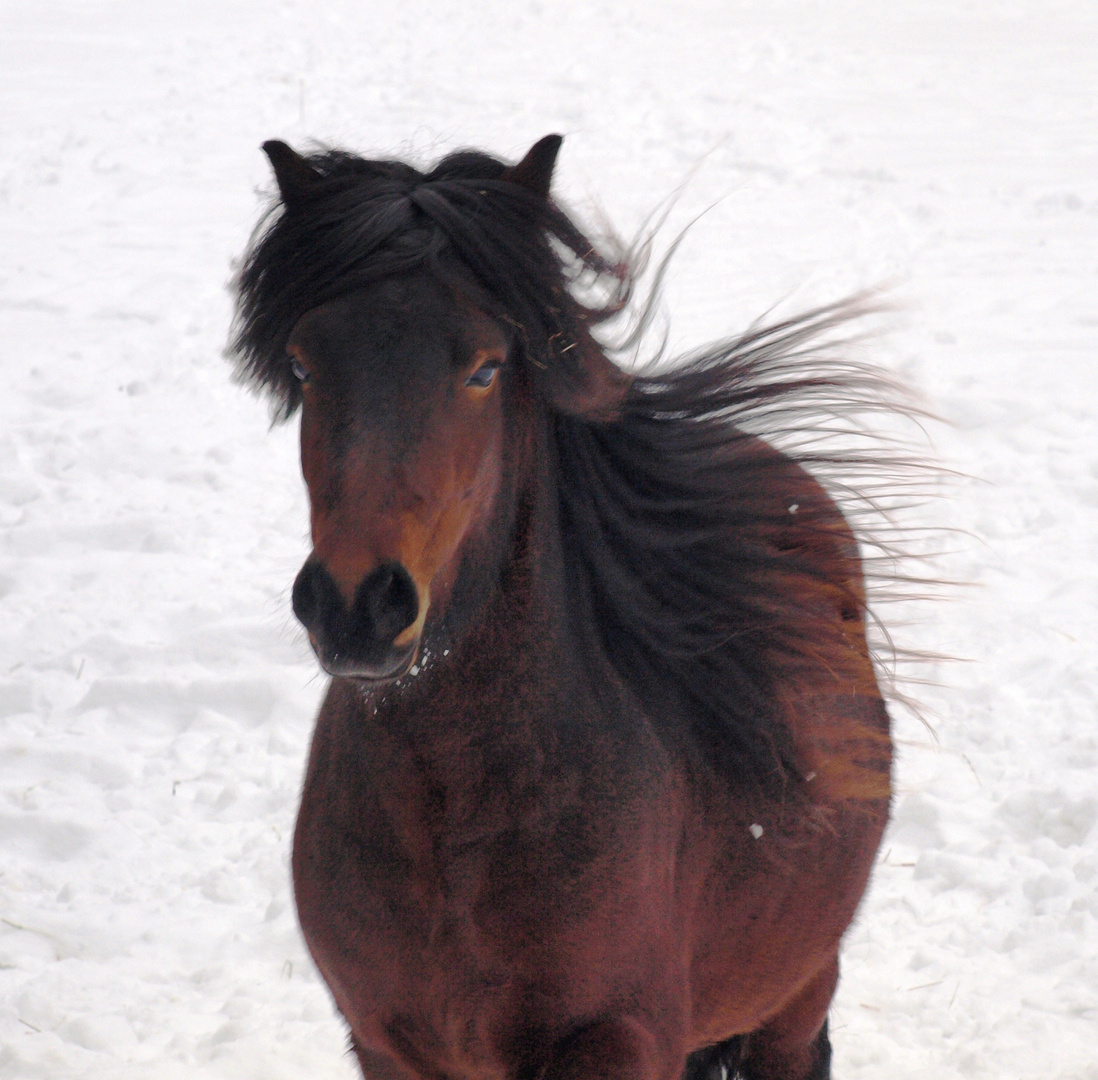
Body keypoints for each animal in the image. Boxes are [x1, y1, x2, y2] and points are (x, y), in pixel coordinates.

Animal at [227, 135, 895, 1080]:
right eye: (303, 364)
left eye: (484, 367)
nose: (357, 606)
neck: (451, 819)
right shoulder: (386, 1044)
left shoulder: (615, 1040)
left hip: (794, 995)